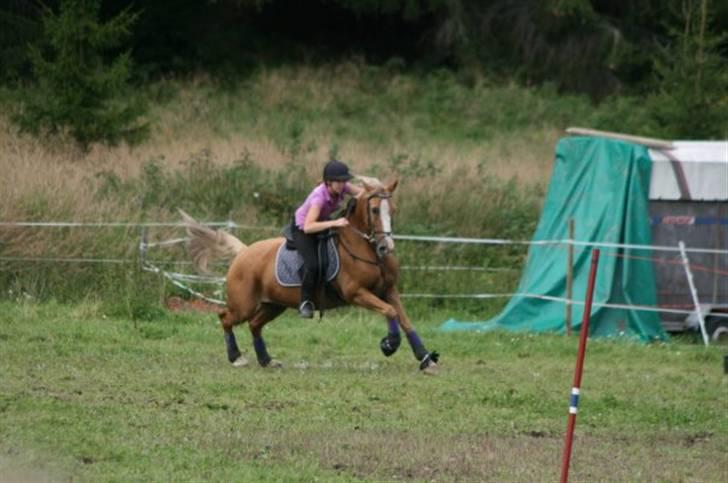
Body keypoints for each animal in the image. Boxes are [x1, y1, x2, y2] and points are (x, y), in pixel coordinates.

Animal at [179, 180, 438, 376]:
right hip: (244, 304)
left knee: (254, 325)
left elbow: (404, 320)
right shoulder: (357, 293)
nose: (386, 248)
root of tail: (243, 252)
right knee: (225, 318)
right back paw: (236, 357)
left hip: (274, 305)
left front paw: (426, 359)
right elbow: (390, 312)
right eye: (375, 210)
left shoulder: (389, 290)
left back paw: (267, 360)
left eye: (393, 210)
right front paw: (390, 344)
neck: (366, 249)